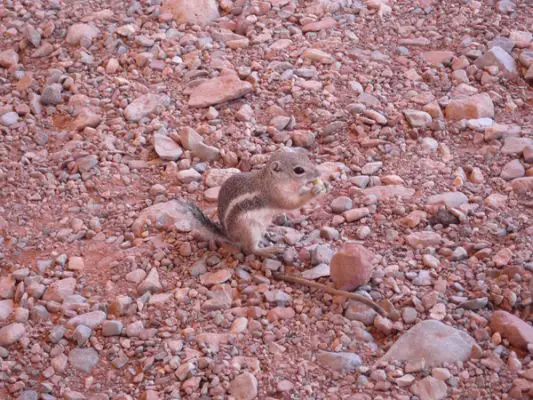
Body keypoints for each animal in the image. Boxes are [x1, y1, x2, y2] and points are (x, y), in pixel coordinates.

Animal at [187, 150, 324, 256]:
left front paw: (321, 186)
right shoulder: (276, 197)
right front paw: (314, 191)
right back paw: (268, 250)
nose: (319, 173)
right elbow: (292, 205)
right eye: (299, 170)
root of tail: (229, 236)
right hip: (250, 229)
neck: (272, 180)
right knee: (251, 249)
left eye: (305, 157)